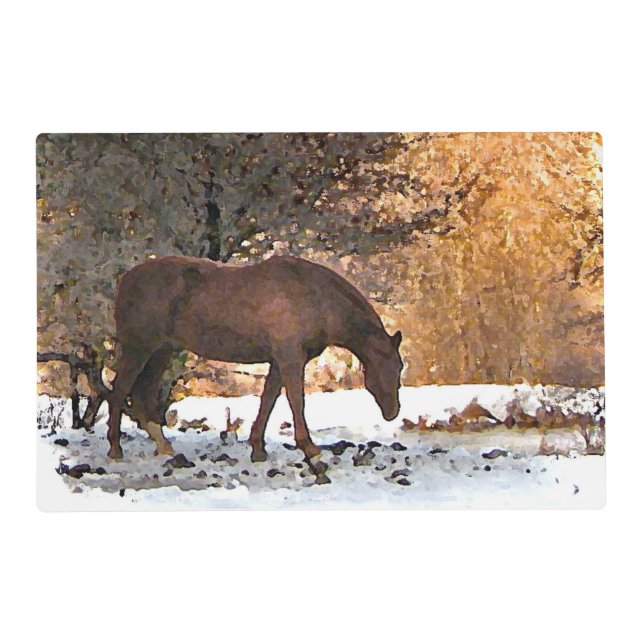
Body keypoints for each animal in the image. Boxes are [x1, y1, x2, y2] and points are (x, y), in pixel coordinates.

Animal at [107, 255, 404, 462]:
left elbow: (268, 400)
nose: (392, 411)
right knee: (119, 391)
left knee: (142, 395)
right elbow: (296, 401)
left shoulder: (279, 361)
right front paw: (309, 448)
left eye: (399, 366)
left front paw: (258, 448)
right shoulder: (290, 358)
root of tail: (125, 279)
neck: (314, 296)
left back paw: (164, 446)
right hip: (138, 349)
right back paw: (115, 448)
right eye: (388, 365)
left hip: (160, 352)